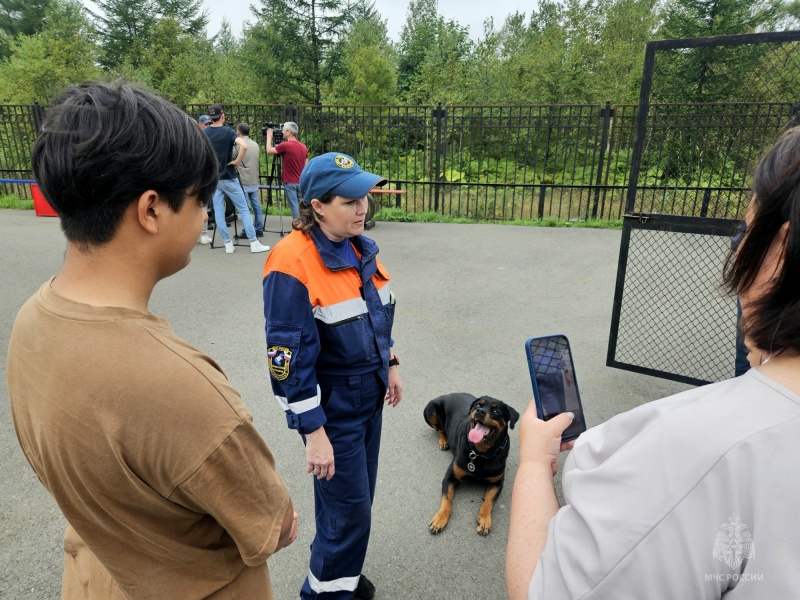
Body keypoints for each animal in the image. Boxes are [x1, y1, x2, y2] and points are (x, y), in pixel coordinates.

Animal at [424, 394, 520, 536]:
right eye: (478, 405)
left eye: (496, 411)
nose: (479, 411)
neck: (481, 453)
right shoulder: (450, 478)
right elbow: (446, 500)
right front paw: (440, 518)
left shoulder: (497, 483)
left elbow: (488, 501)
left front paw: (484, 519)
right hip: (430, 411)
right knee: (440, 429)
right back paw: (443, 441)